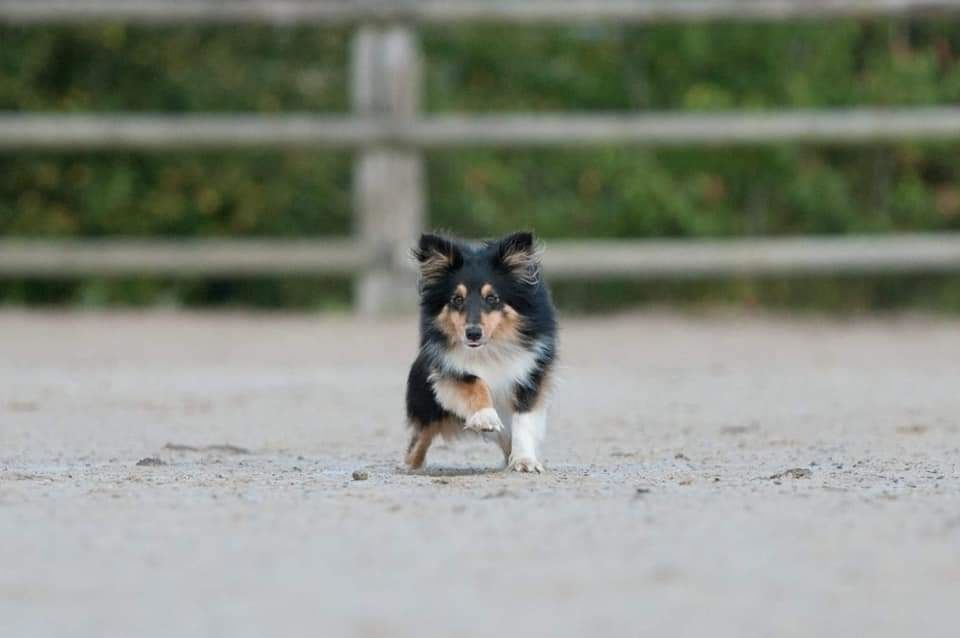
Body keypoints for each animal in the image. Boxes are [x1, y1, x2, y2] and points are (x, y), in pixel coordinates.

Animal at [404, 232, 556, 472]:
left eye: (492, 298)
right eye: (457, 299)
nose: (473, 334)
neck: (491, 346)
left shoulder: (530, 373)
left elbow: (523, 420)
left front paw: (525, 461)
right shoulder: (447, 367)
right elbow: (474, 381)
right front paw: (485, 418)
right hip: (428, 404)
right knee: (419, 438)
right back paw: (413, 465)